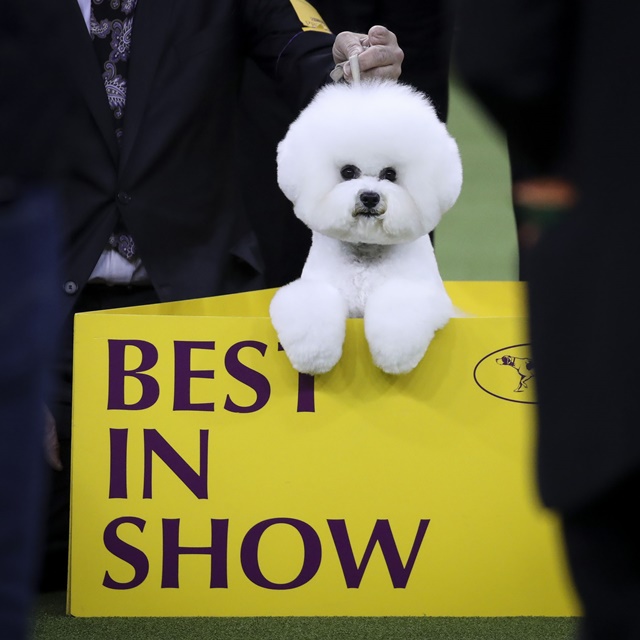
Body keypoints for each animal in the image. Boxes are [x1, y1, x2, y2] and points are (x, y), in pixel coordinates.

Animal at [268, 79, 462, 376]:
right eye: (348, 172)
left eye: (390, 174)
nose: (370, 197)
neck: (366, 251)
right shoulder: (317, 287)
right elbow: (311, 304)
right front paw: (313, 354)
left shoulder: (427, 296)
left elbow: (400, 306)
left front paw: (394, 354)